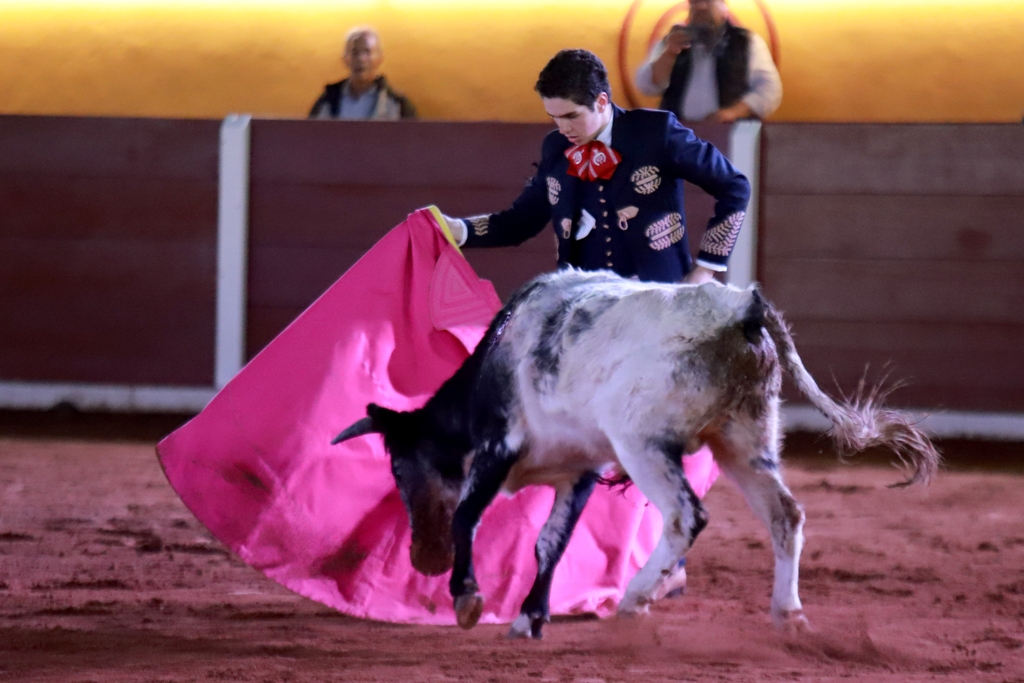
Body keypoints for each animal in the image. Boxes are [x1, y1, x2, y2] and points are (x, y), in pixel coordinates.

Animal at [331, 268, 937, 643]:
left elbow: (466, 516)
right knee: (785, 515)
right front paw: (529, 620)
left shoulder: (498, 447)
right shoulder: (581, 469)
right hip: (746, 442)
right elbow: (550, 542)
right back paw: (787, 615)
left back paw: (636, 597)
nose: (424, 560)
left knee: (685, 515)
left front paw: (468, 599)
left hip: (643, 443)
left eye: (398, 467)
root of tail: (742, 308)